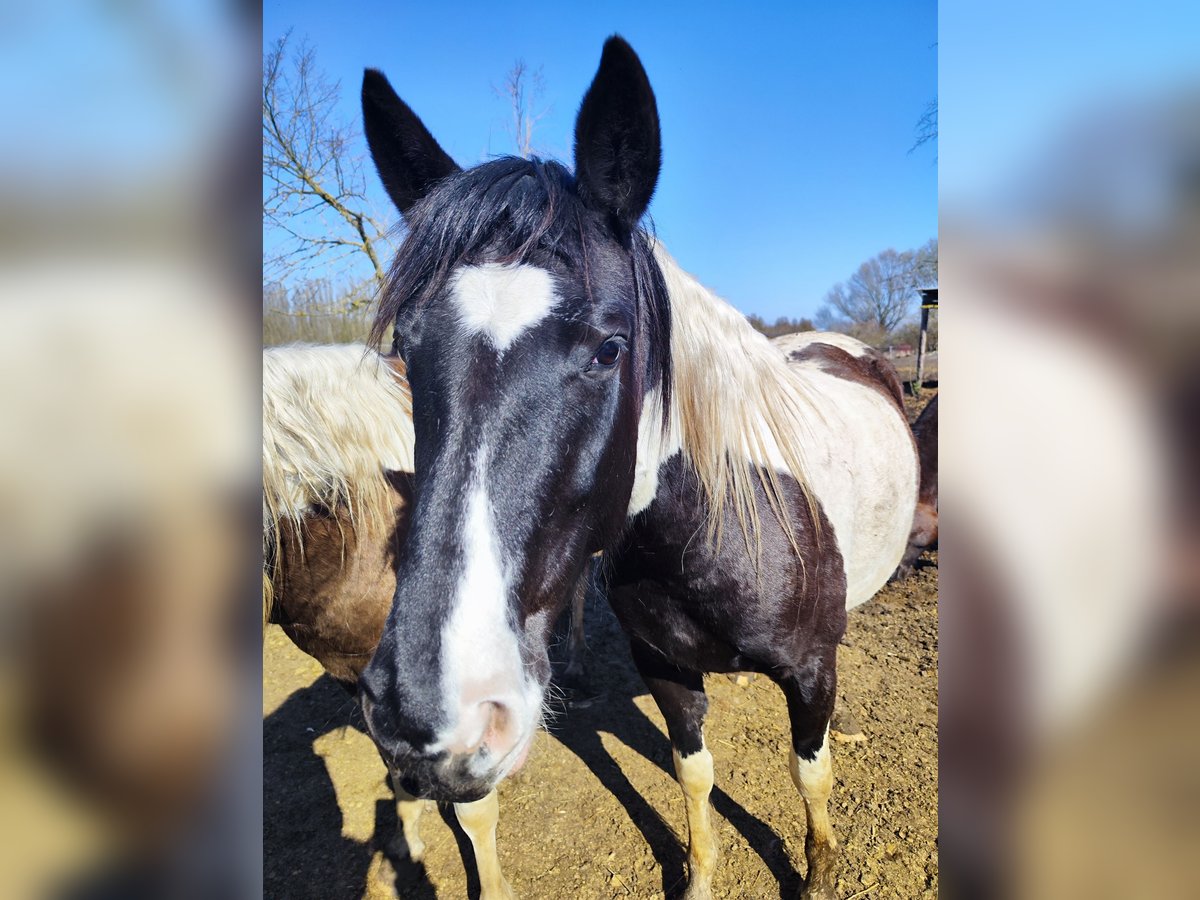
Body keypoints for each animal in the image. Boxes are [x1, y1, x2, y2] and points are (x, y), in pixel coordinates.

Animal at [355, 35, 918, 900]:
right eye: (407, 350)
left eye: (609, 350)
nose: (428, 720)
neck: (722, 528)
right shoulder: (664, 666)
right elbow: (693, 776)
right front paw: (700, 877)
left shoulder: (812, 672)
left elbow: (810, 774)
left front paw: (820, 868)